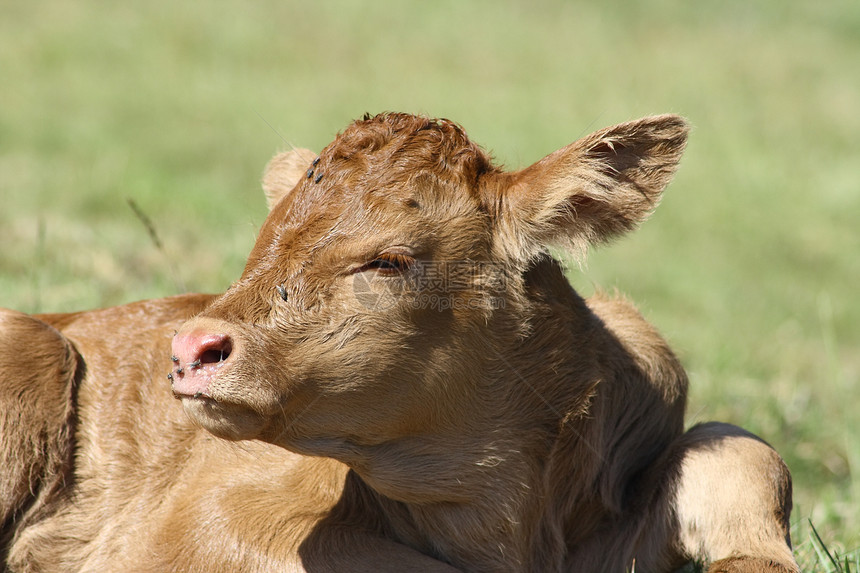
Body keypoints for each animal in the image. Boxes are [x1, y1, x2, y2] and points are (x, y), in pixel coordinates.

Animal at [0, 114, 796, 568]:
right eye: (264, 241)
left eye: (388, 260)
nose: (190, 348)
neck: (507, 526)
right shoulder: (212, 521)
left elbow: (741, 451)